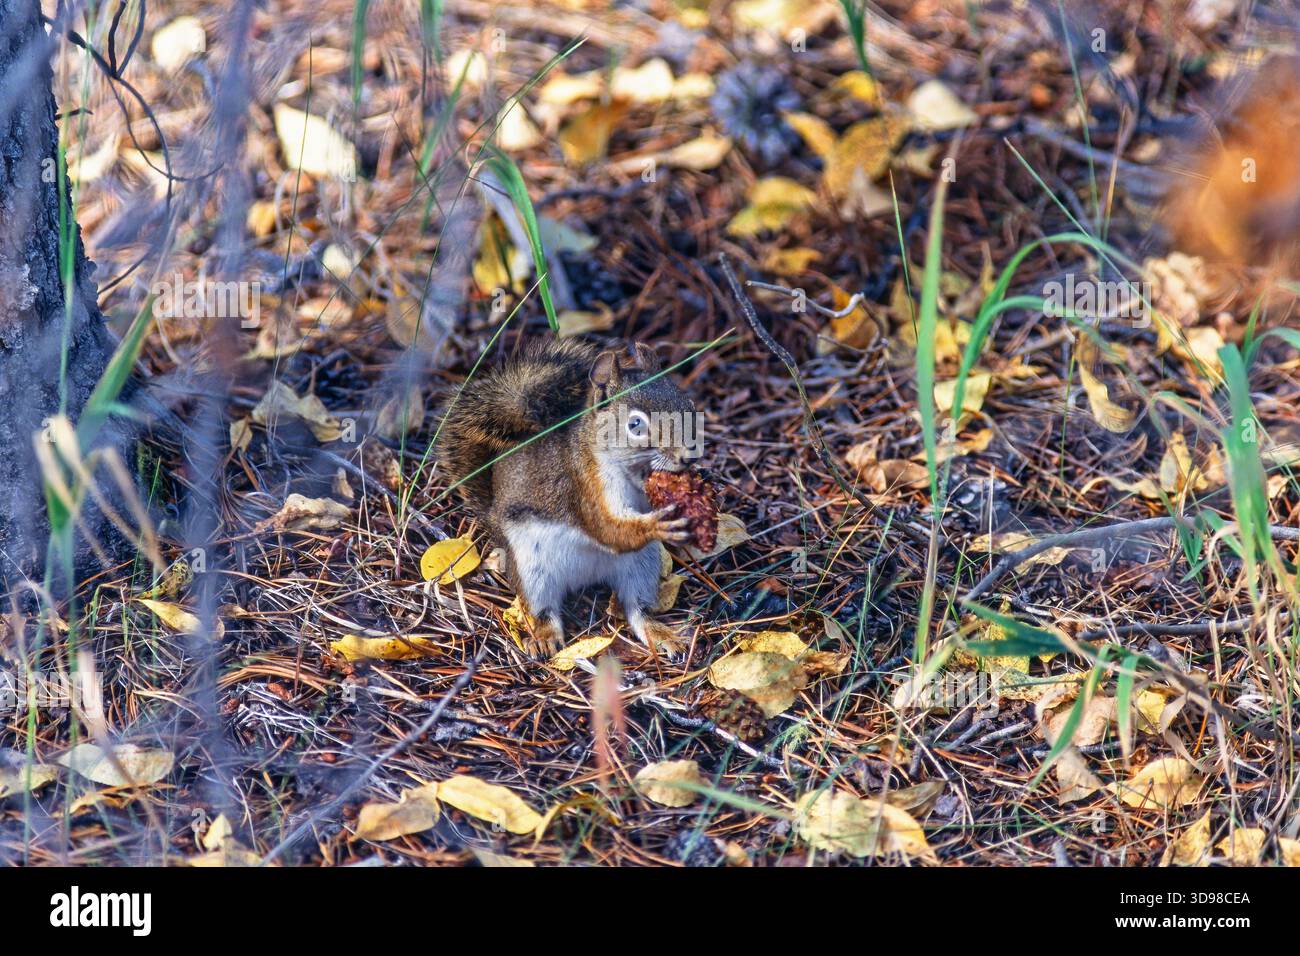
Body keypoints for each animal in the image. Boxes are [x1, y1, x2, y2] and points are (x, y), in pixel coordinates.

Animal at [438, 338, 698, 658]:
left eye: (689, 407)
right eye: (635, 425)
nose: (688, 457)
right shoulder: (584, 487)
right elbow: (608, 528)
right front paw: (658, 525)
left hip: (641, 566)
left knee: (638, 611)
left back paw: (660, 634)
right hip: (530, 568)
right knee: (541, 609)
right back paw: (544, 636)